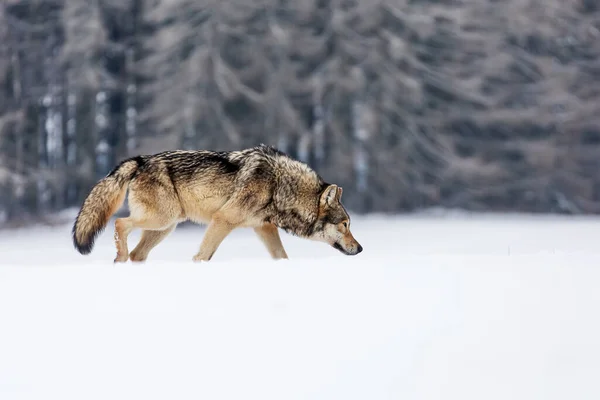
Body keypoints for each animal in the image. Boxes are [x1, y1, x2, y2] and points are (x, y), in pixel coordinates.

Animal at [70, 144, 360, 262]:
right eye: (345, 224)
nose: (360, 248)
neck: (280, 185)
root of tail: (141, 160)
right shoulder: (223, 220)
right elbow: (203, 255)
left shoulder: (263, 228)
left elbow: (282, 256)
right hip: (162, 220)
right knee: (120, 223)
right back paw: (118, 257)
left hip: (164, 227)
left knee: (137, 254)